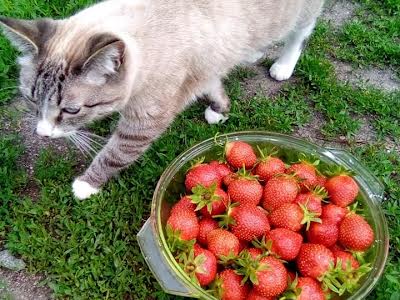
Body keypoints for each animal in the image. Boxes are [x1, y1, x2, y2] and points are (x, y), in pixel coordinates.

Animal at [0, 0, 324, 199]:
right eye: (31, 100)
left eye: (71, 110)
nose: (42, 134)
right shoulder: (203, 69)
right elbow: (213, 82)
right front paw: (219, 109)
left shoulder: (144, 120)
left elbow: (115, 153)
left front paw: (85, 185)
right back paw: (252, 53)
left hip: (301, 15)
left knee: (301, 35)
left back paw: (283, 65)